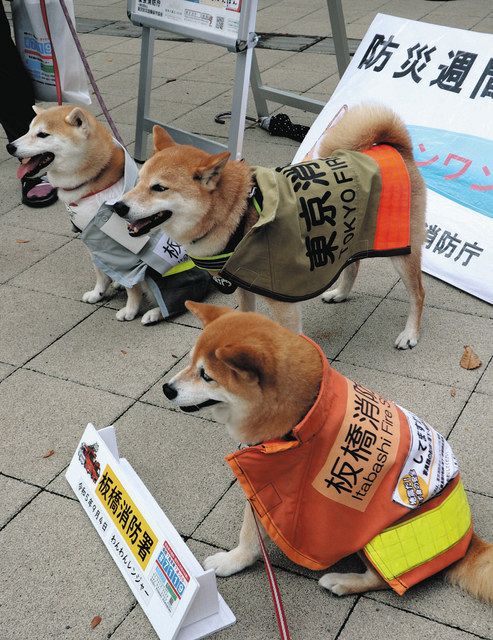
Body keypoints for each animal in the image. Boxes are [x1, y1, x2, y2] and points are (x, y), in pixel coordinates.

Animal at [6, 106, 148, 324]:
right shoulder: (90, 237)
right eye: (28, 130)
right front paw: (98, 293)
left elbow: (133, 283)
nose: (9, 147)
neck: (96, 180)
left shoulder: (125, 245)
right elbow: (100, 272)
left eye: (42, 134)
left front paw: (131, 309)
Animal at [113, 103, 424, 348]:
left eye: (159, 188)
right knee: (354, 264)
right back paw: (340, 293)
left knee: (418, 293)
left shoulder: (284, 304)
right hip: (349, 237)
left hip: (402, 252)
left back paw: (410, 334)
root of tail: (395, 148)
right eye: (138, 180)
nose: (117, 207)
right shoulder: (244, 287)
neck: (240, 217)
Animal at [162, 302, 492, 604]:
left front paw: (233, 560)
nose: (166, 388)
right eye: (190, 363)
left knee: (384, 580)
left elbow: (250, 535)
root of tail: (469, 540)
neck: (302, 414)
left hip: (380, 535)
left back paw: (342, 582)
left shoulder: (272, 487)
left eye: (206, 376)